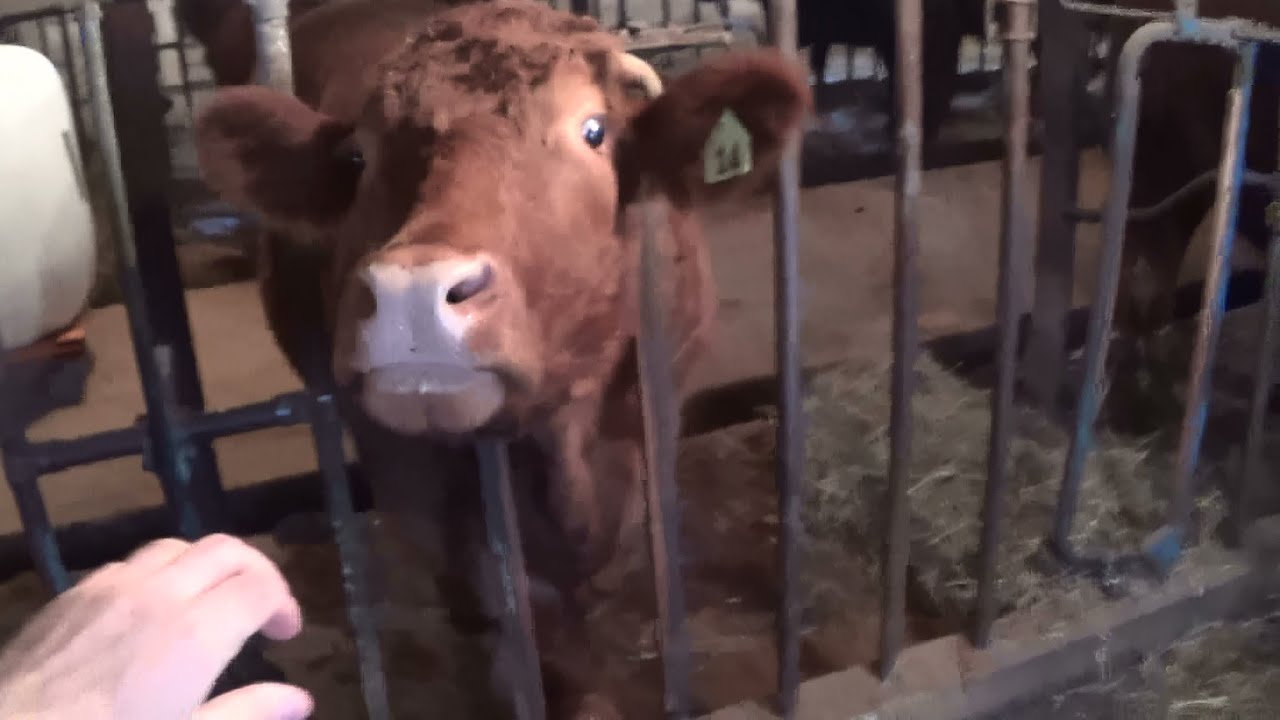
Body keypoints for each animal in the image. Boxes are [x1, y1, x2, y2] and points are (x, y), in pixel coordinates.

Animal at [178, 0, 811, 716]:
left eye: (594, 130)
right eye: (360, 156)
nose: (412, 290)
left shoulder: (647, 417)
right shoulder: (399, 458)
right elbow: (499, 596)